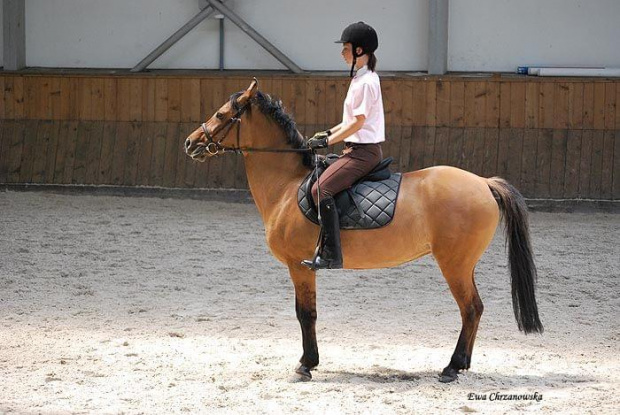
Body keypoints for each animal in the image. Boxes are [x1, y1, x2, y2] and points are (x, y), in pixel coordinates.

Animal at [184, 78, 544, 384]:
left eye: (221, 114)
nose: (190, 143)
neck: (286, 186)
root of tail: (483, 182)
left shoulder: (299, 265)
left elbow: (306, 313)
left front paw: (306, 365)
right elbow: (306, 313)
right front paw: (308, 362)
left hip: (454, 264)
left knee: (471, 308)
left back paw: (451, 368)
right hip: (462, 264)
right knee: (475, 309)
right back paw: (461, 364)